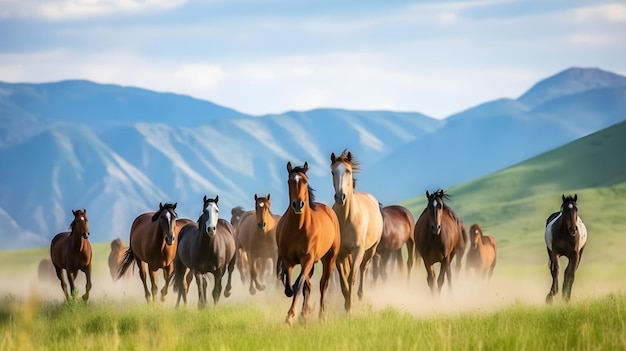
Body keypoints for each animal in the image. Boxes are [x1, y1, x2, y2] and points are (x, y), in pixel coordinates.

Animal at [276, 162, 338, 324]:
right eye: (289, 181)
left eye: (304, 181)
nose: (298, 204)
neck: (298, 227)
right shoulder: (288, 260)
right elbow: (291, 287)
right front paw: (301, 313)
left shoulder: (307, 259)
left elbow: (298, 285)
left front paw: (290, 315)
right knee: (308, 285)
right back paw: (305, 314)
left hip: (329, 259)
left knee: (323, 285)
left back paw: (321, 315)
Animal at [330, 150, 382, 312]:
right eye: (332, 172)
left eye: (348, 171)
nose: (340, 197)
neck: (347, 218)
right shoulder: (340, 253)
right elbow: (343, 279)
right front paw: (347, 303)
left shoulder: (358, 250)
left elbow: (352, 277)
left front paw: (350, 306)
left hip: (371, 250)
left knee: (364, 269)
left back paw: (360, 296)